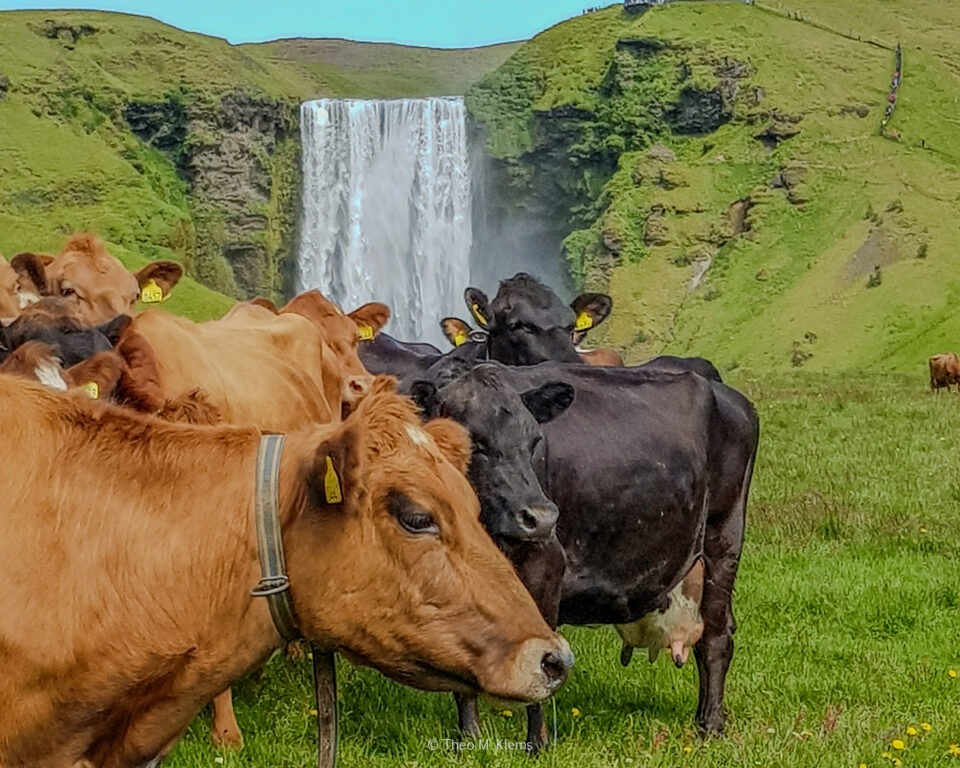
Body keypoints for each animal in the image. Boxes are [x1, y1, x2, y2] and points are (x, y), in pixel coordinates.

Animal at [410, 360, 758, 749]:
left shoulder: (546, 565)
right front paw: (469, 739)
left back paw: (710, 725)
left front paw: (537, 745)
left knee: (716, 636)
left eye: (535, 442)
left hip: (723, 537)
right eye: (471, 441)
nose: (541, 517)